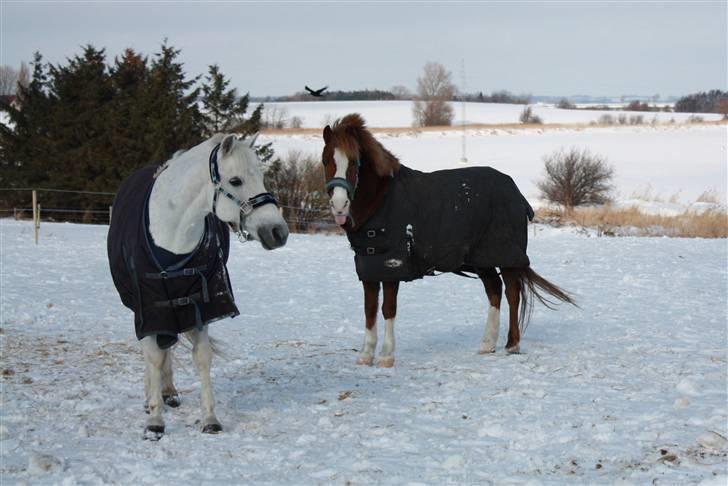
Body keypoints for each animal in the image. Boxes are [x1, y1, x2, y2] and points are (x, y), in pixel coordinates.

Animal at [106, 134, 288, 440]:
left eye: (261, 176)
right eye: (235, 180)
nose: (279, 232)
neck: (173, 235)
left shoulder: (200, 303)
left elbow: (201, 358)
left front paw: (210, 418)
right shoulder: (149, 306)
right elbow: (154, 357)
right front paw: (154, 420)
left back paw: (168, 392)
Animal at [322, 114, 572, 366]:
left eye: (354, 162)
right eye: (325, 161)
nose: (340, 205)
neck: (381, 201)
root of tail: (515, 192)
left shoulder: (392, 266)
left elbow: (388, 309)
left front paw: (386, 356)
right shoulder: (370, 267)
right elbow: (370, 309)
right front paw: (365, 355)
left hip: (505, 255)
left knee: (512, 293)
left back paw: (512, 344)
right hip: (481, 259)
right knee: (494, 290)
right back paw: (487, 344)